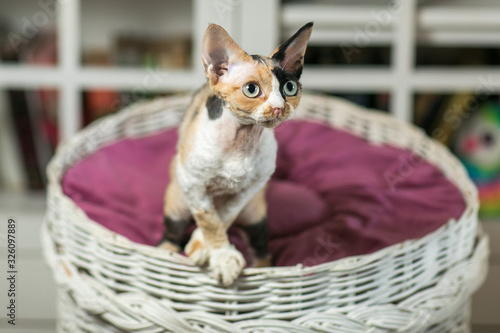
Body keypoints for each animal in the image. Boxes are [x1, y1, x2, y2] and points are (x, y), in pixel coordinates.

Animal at [159, 22, 312, 284]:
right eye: (251, 90)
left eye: (289, 88)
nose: (279, 108)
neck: (242, 139)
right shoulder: (191, 180)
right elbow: (210, 219)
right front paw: (220, 255)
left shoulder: (254, 185)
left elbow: (224, 214)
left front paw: (205, 247)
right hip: (177, 201)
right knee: (169, 236)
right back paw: (166, 252)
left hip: (255, 214)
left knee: (262, 252)